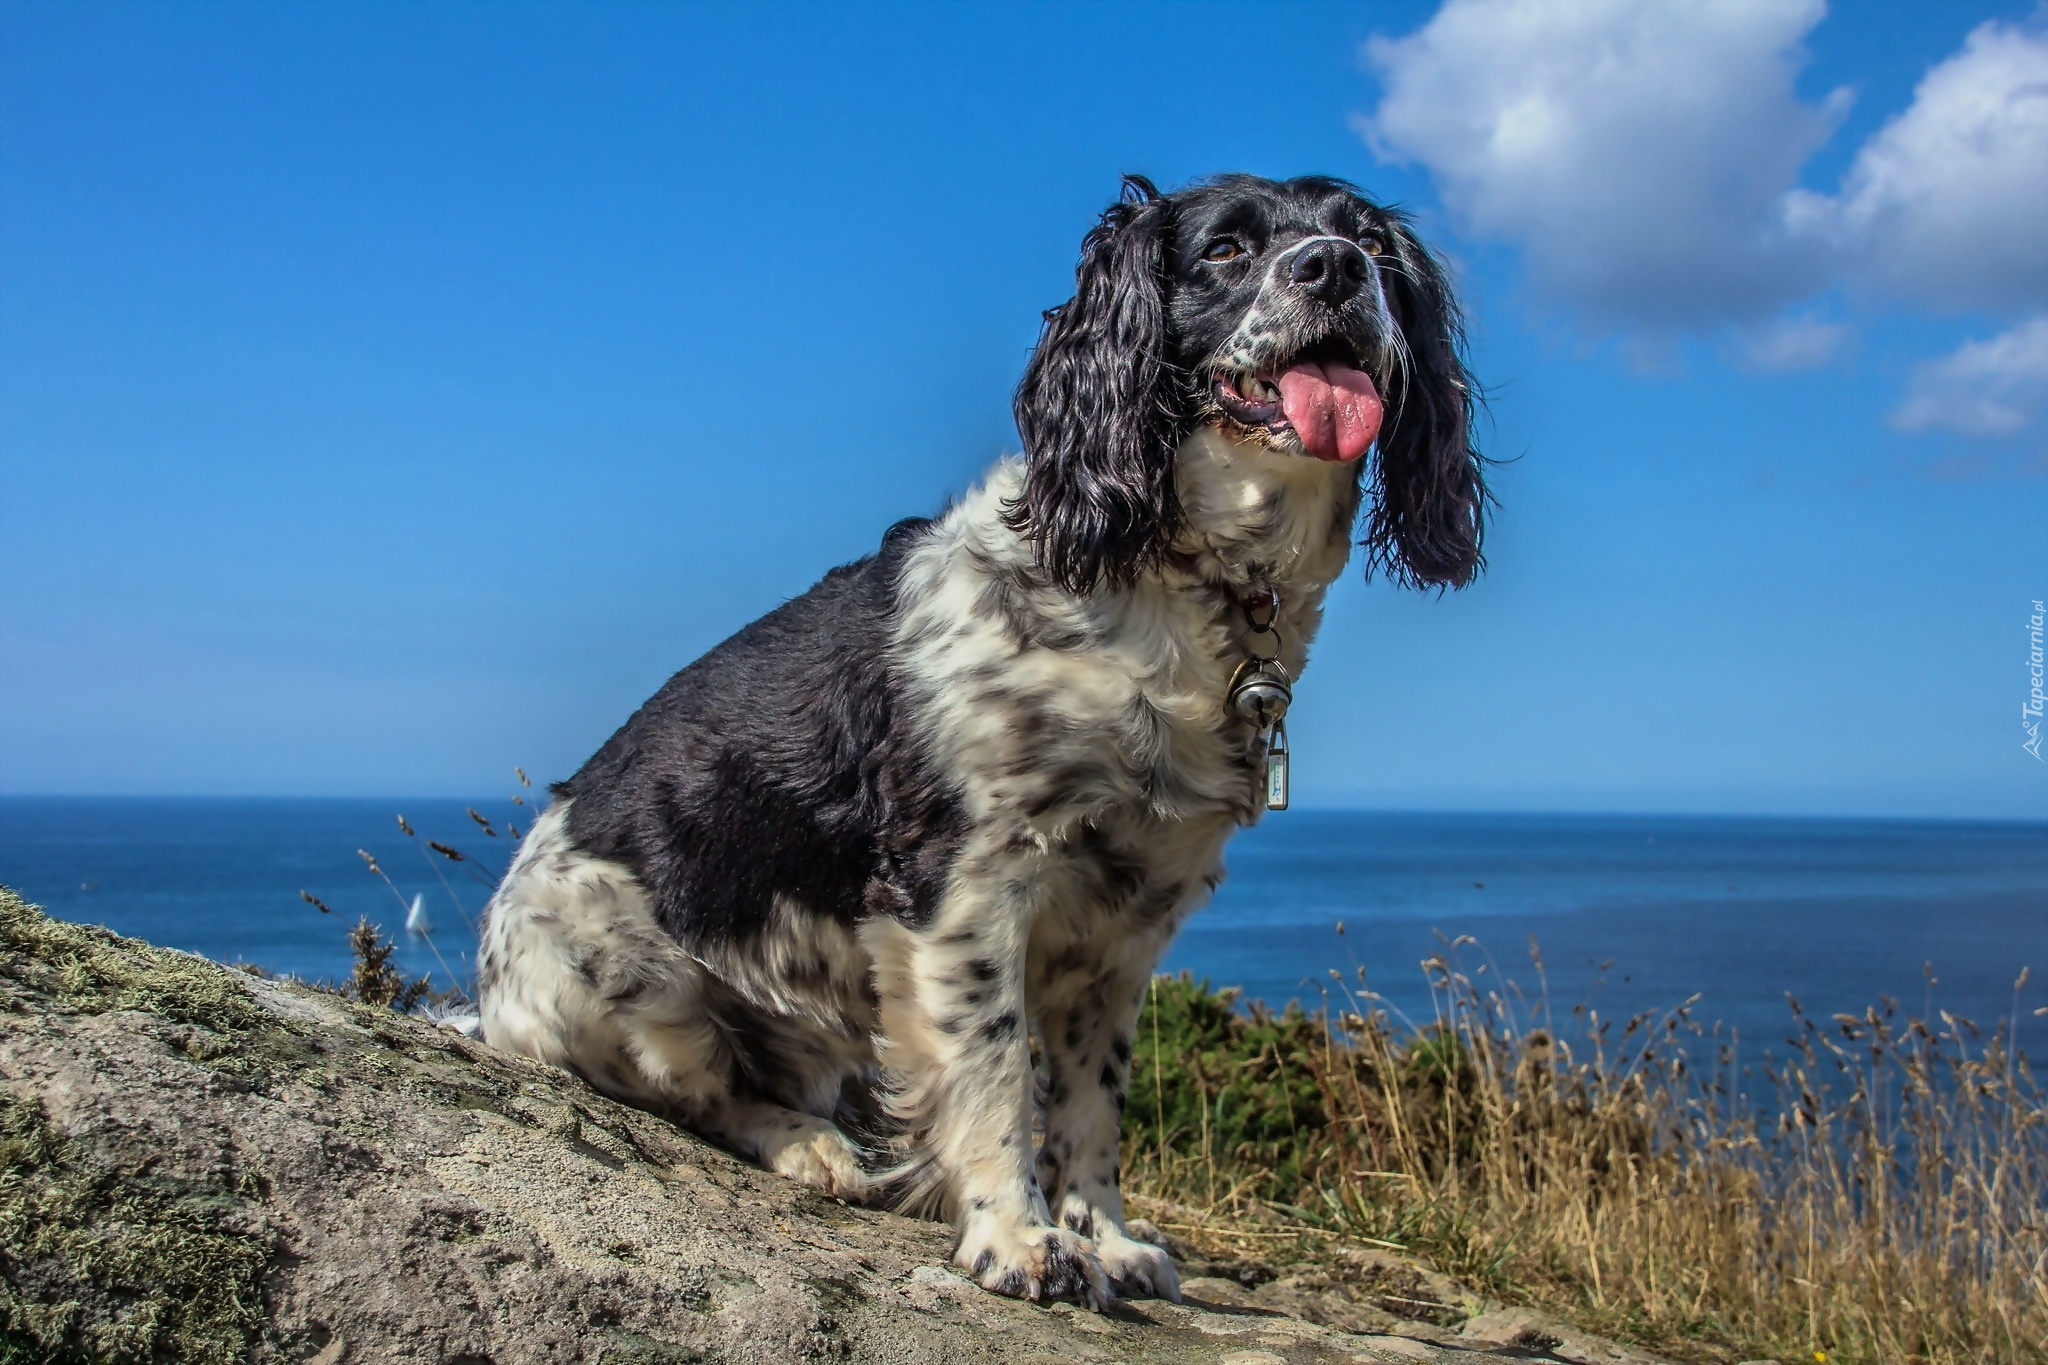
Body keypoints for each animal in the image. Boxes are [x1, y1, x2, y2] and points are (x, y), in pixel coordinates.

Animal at [481, 175, 1490, 1309]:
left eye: (1372, 246)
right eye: (1225, 249)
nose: (1335, 268)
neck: (1168, 578)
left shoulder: (1128, 925)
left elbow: (1092, 1103)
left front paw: (1106, 1235)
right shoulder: (968, 882)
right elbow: (997, 1074)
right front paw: (1020, 1236)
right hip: (633, 986)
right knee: (705, 1096)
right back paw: (810, 1147)